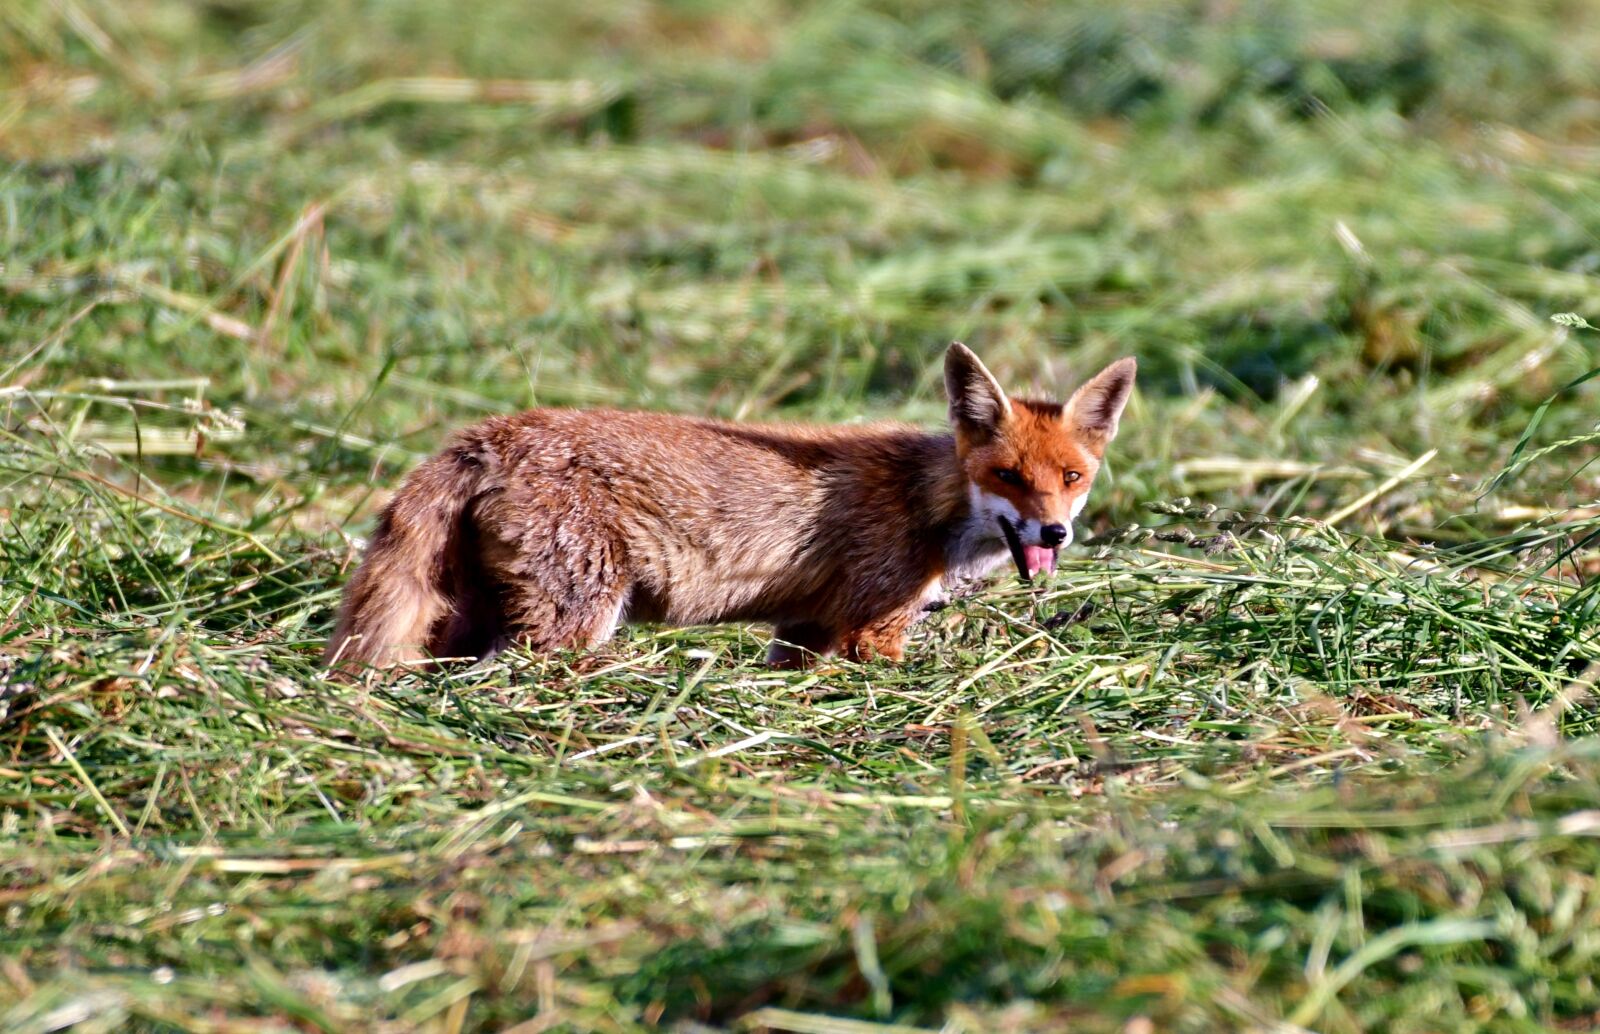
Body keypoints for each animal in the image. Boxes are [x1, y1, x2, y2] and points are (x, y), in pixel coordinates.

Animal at [325, 343, 1135, 670]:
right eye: (1008, 475)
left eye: (1071, 476)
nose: (1054, 530)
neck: (925, 503)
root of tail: (489, 433)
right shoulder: (871, 628)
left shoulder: (806, 628)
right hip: (572, 621)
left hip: (469, 617)